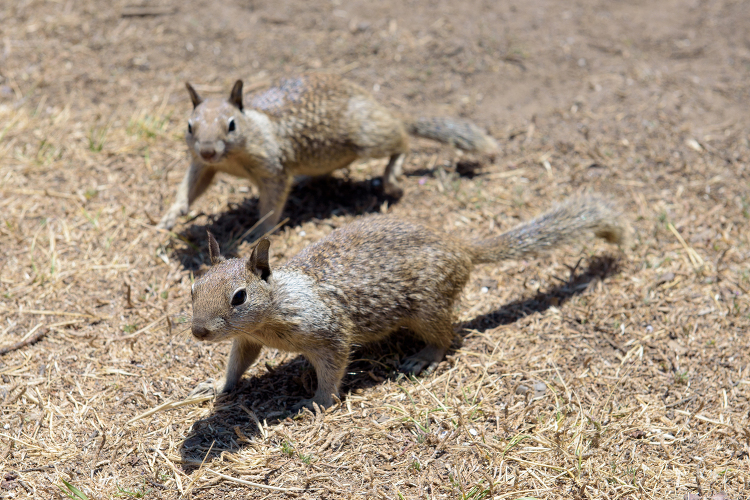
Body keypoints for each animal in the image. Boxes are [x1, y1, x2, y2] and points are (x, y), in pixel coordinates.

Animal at [158, 73, 500, 232]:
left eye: (231, 125)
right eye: (189, 126)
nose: (208, 150)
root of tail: (380, 108)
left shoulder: (272, 168)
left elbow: (272, 202)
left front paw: (259, 231)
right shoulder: (202, 166)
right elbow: (191, 185)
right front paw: (173, 214)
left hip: (368, 137)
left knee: (402, 140)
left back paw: (392, 176)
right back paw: (305, 180)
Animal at [188, 193, 628, 408]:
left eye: (239, 297)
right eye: (193, 288)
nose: (198, 332)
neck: (278, 302)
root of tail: (461, 248)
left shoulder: (329, 332)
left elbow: (332, 367)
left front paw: (316, 403)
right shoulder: (248, 339)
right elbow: (238, 363)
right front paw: (215, 385)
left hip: (427, 309)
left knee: (449, 336)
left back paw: (422, 358)